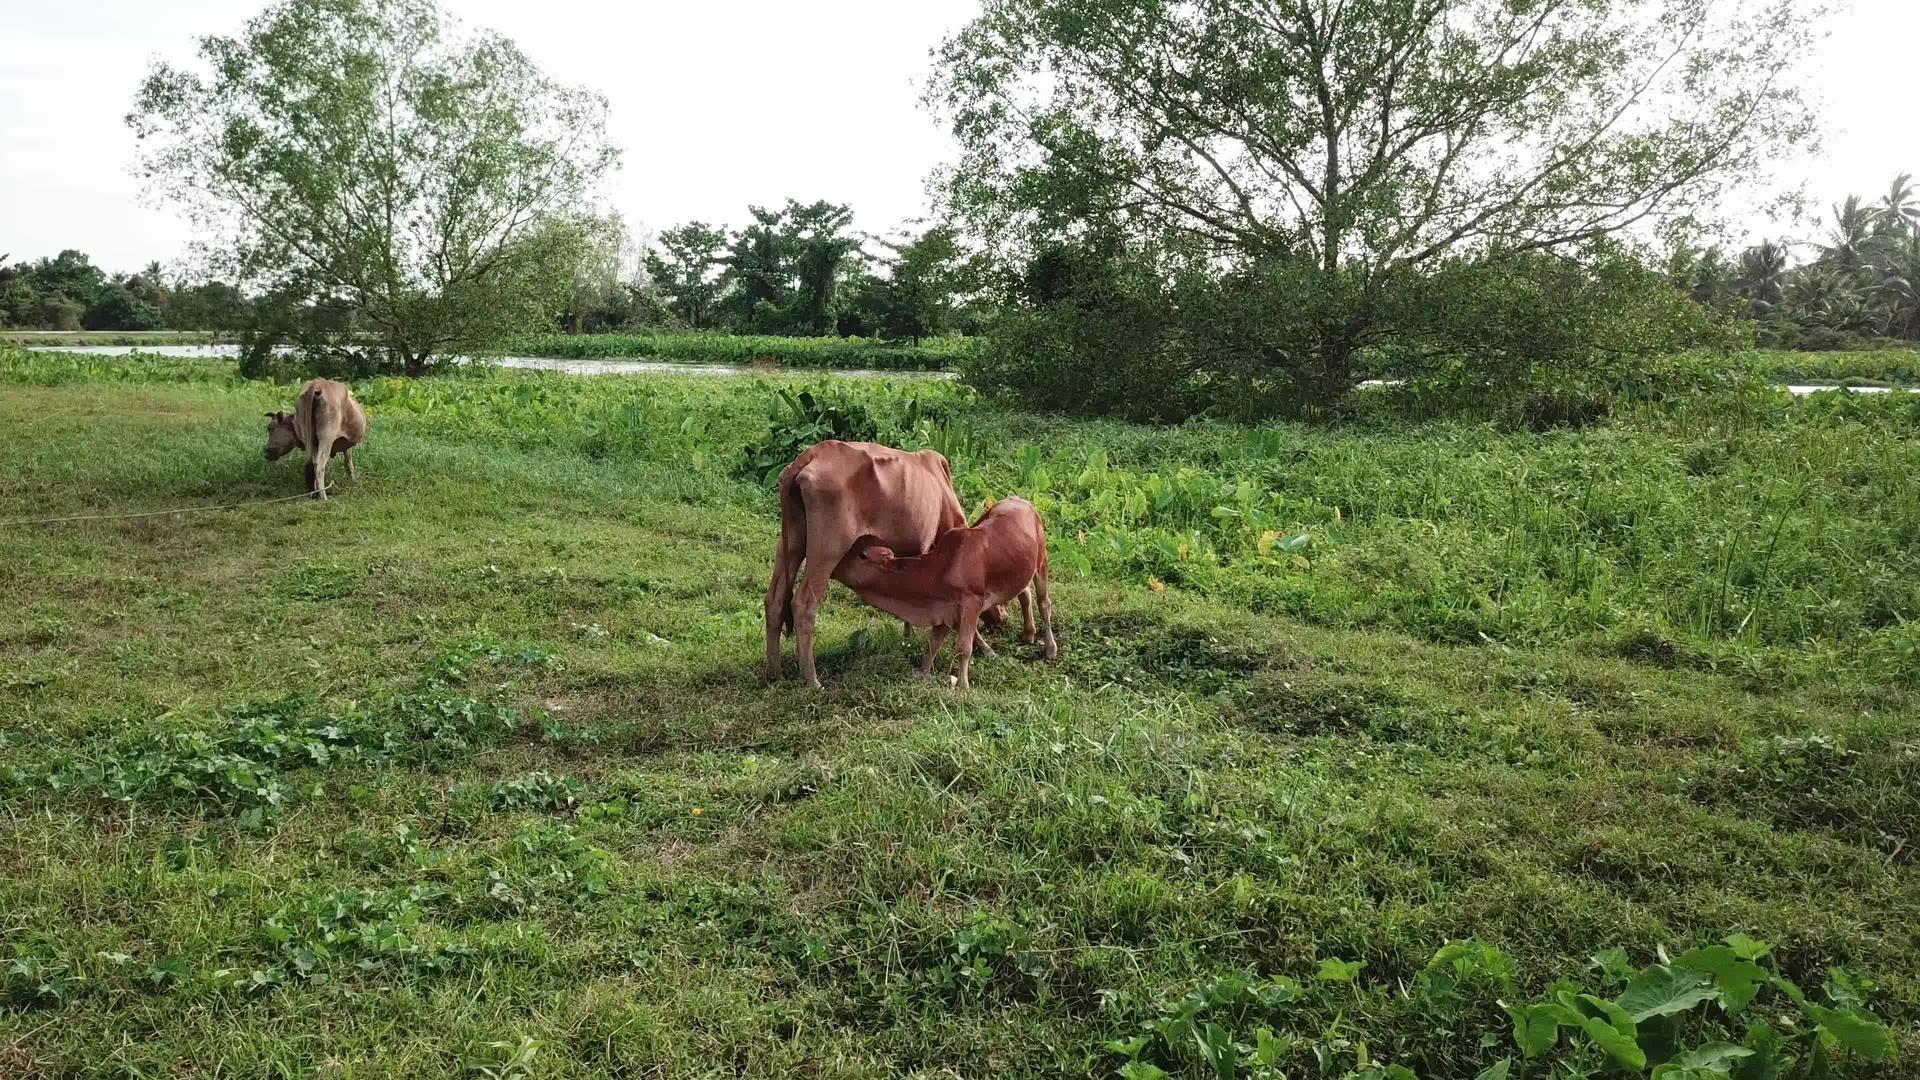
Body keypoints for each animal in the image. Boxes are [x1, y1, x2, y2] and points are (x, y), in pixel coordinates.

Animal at [764, 434, 1013, 680]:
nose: (1004, 618)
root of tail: (811, 453)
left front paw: (907, 638)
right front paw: (986, 648)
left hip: (791, 542)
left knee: (775, 599)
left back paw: (775, 673)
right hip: (828, 548)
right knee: (804, 603)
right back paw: (812, 680)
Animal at [837, 491, 1059, 684]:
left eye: (862, 555)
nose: (835, 565)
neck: (943, 567)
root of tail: (1020, 500)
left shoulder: (971, 603)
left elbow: (963, 647)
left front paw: (963, 686)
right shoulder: (944, 608)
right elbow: (932, 645)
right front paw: (923, 674)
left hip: (1041, 563)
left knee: (1043, 604)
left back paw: (1050, 648)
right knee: (1024, 593)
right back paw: (1028, 634)